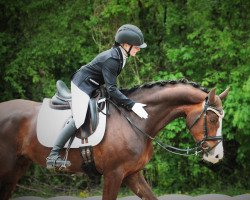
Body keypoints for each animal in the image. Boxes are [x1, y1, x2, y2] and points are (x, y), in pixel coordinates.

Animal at [0, 79, 229, 200]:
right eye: (211, 118)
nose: (217, 156)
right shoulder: (113, 174)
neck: (136, 121)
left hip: (16, 169)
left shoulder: (132, 174)